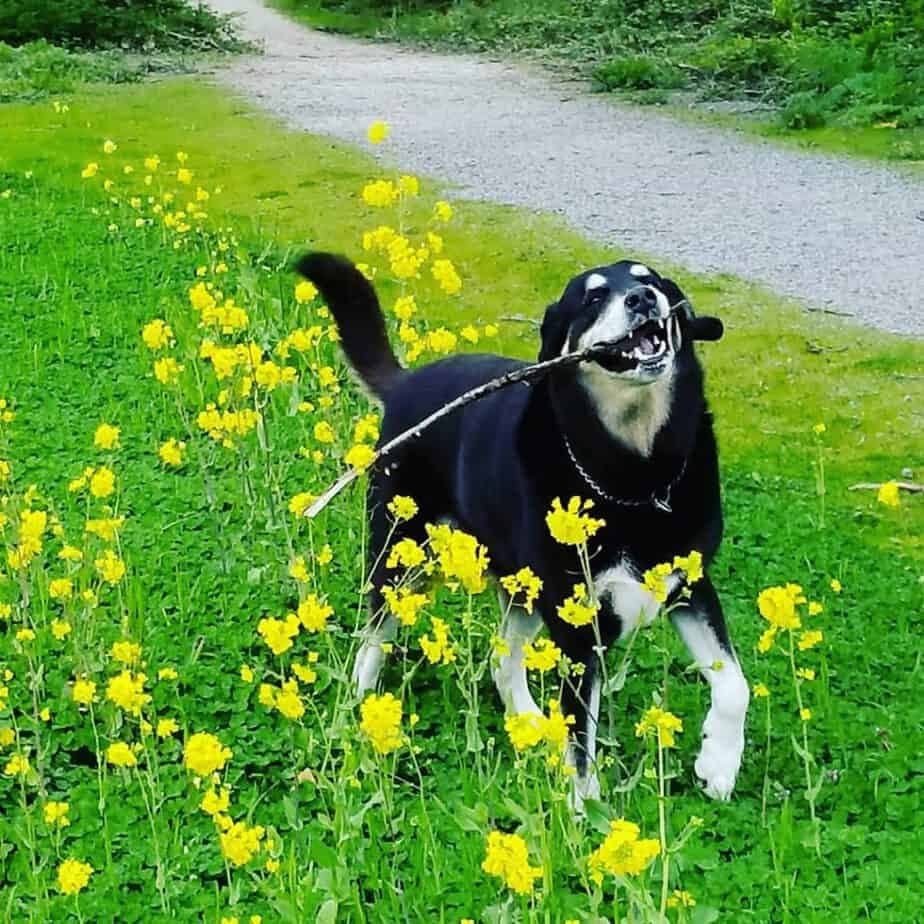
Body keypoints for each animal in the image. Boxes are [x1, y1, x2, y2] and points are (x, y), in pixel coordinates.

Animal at [300, 253, 748, 808]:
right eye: (594, 297)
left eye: (651, 282)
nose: (642, 299)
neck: (637, 473)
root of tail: (406, 384)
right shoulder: (579, 626)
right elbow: (581, 741)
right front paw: (586, 814)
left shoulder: (690, 583)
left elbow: (734, 686)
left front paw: (718, 764)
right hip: (400, 555)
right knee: (373, 639)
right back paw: (359, 710)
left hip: (523, 588)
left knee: (502, 660)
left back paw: (530, 723)